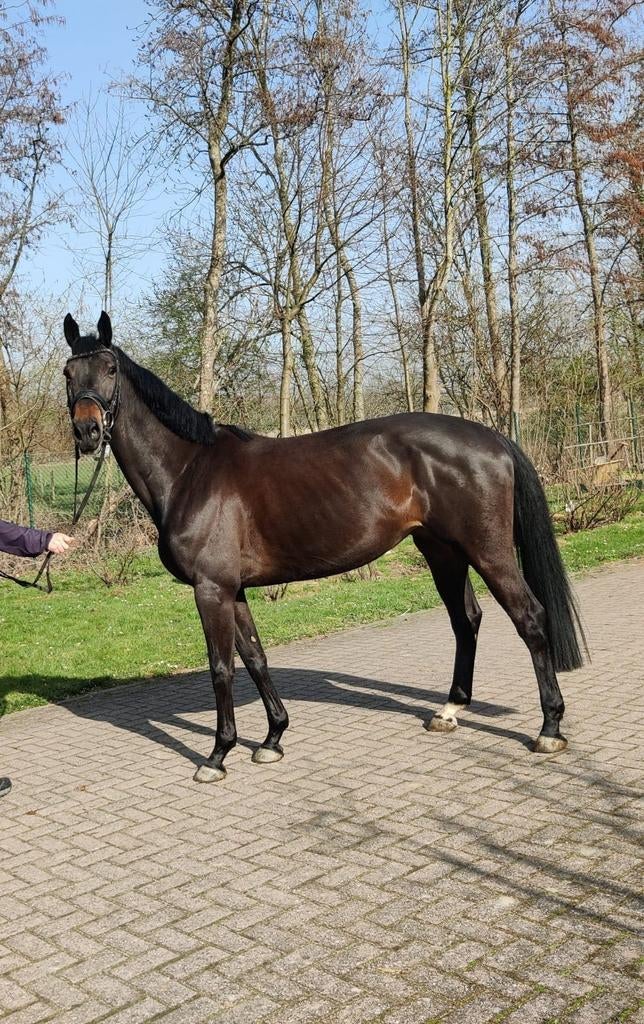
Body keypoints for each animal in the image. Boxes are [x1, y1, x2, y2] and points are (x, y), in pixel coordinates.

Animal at [63, 312, 585, 783]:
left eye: (109, 369)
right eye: (69, 374)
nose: (88, 432)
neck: (191, 470)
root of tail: (492, 437)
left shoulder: (210, 589)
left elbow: (221, 667)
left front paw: (217, 755)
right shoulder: (234, 589)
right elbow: (255, 658)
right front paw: (272, 739)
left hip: (488, 551)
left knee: (529, 618)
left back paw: (549, 728)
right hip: (442, 552)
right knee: (466, 619)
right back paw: (449, 711)